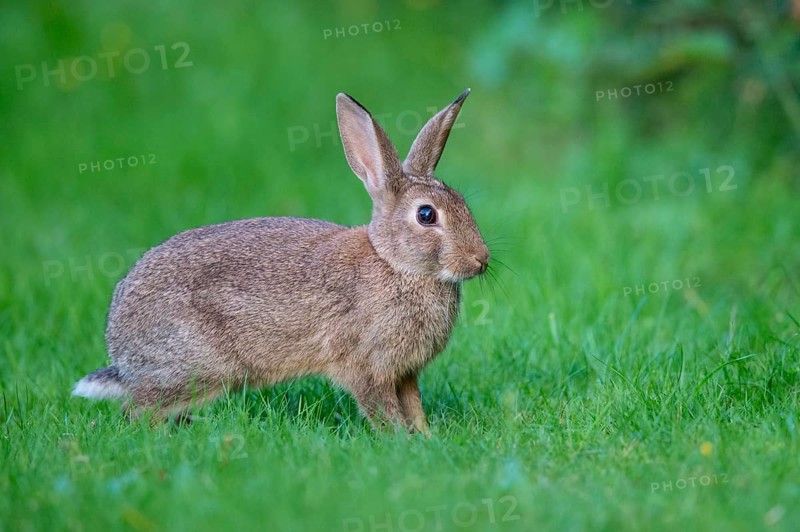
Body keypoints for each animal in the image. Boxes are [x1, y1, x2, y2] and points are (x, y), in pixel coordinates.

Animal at [72, 89, 489, 433]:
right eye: (426, 215)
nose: (481, 260)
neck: (395, 263)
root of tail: (121, 349)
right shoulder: (367, 367)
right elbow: (383, 410)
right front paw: (401, 441)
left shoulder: (405, 374)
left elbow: (414, 406)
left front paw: (426, 438)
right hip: (198, 368)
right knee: (138, 411)